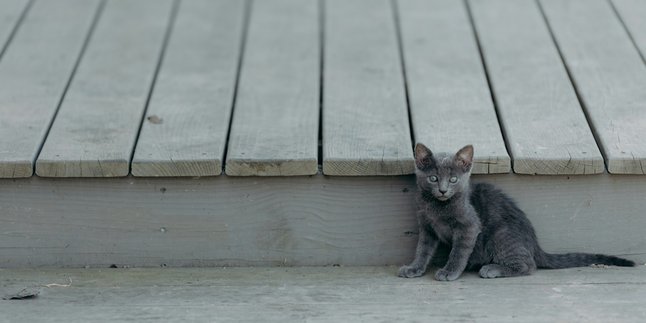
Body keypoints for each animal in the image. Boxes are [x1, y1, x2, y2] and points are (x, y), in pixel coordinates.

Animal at [400, 144, 636, 280]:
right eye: (433, 178)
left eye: (453, 179)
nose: (442, 190)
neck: (437, 207)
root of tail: (535, 244)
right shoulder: (427, 227)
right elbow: (422, 250)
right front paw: (414, 268)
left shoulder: (469, 226)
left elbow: (459, 252)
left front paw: (450, 271)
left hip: (500, 235)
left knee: (529, 265)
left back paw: (492, 269)